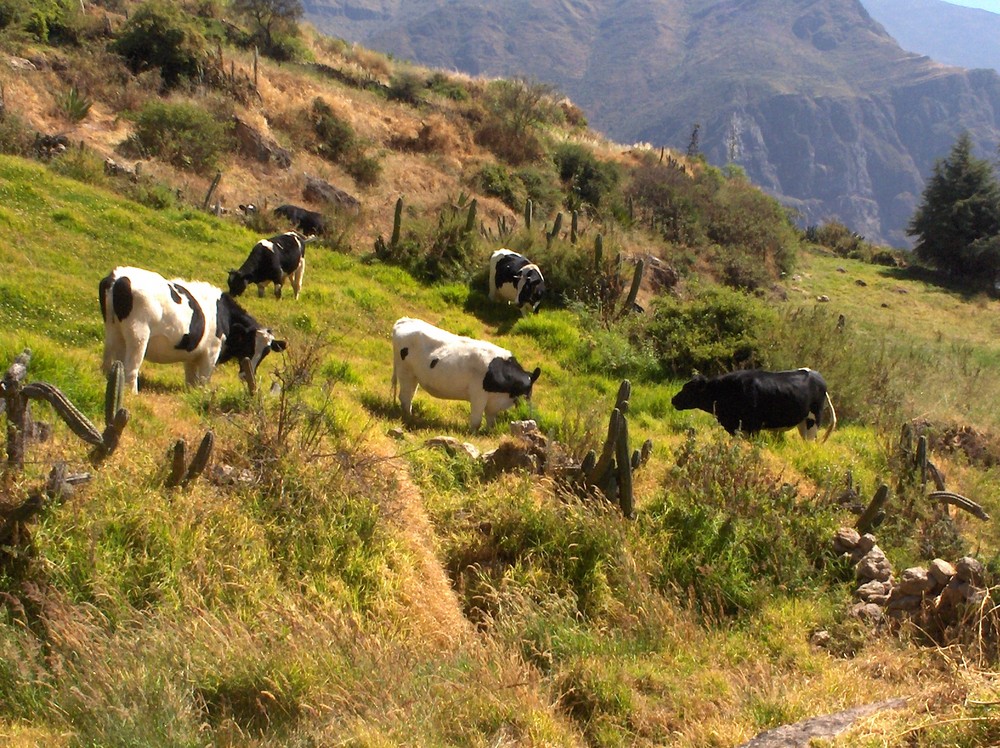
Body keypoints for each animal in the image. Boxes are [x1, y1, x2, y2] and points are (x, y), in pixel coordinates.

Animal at [99, 268, 288, 398]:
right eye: (249, 345)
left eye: (265, 352)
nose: (245, 375)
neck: (224, 315)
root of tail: (118, 276)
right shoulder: (211, 353)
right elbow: (203, 381)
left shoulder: (191, 355)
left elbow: (191, 381)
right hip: (138, 335)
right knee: (131, 368)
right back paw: (133, 395)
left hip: (113, 333)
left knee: (109, 363)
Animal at [390, 318, 544, 432]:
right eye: (527, 392)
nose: (528, 413)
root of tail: (405, 320)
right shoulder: (478, 395)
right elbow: (476, 420)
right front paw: (472, 434)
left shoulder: (493, 402)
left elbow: (491, 421)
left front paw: (488, 433)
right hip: (405, 371)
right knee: (404, 397)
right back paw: (408, 417)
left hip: (414, 375)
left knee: (409, 395)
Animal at [672, 366, 836, 442]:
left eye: (688, 388)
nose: (673, 399)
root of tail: (815, 374)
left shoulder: (754, 426)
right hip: (803, 422)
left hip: (813, 421)